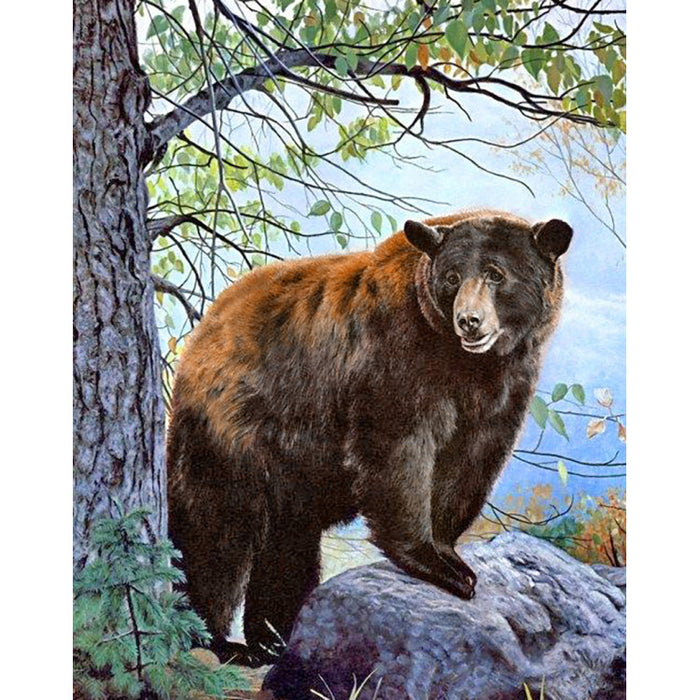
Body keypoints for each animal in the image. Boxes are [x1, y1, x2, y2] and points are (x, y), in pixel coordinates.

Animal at [166, 208, 573, 667]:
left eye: (495, 274)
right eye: (452, 277)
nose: (469, 321)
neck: (466, 363)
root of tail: (202, 332)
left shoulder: (505, 387)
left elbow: (470, 462)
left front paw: (450, 553)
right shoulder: (395, 353)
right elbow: (396, 447)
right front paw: (434, 563)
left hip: (292, 466)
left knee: (288, 545)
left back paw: (273, 637)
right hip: (233, 429)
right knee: (215, 532)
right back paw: (214, 639)